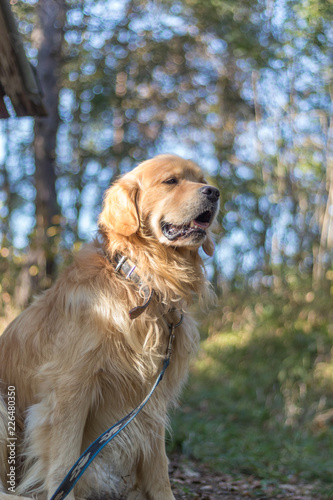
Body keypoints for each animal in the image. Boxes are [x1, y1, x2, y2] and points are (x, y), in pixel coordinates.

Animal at [0, 154, 219, 498]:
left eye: (202, 179)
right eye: (171, 181)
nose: (215, 192)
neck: (142, 281)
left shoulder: (151, 395)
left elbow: (158, 466)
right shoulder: (69, 387)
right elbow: (64, 460)